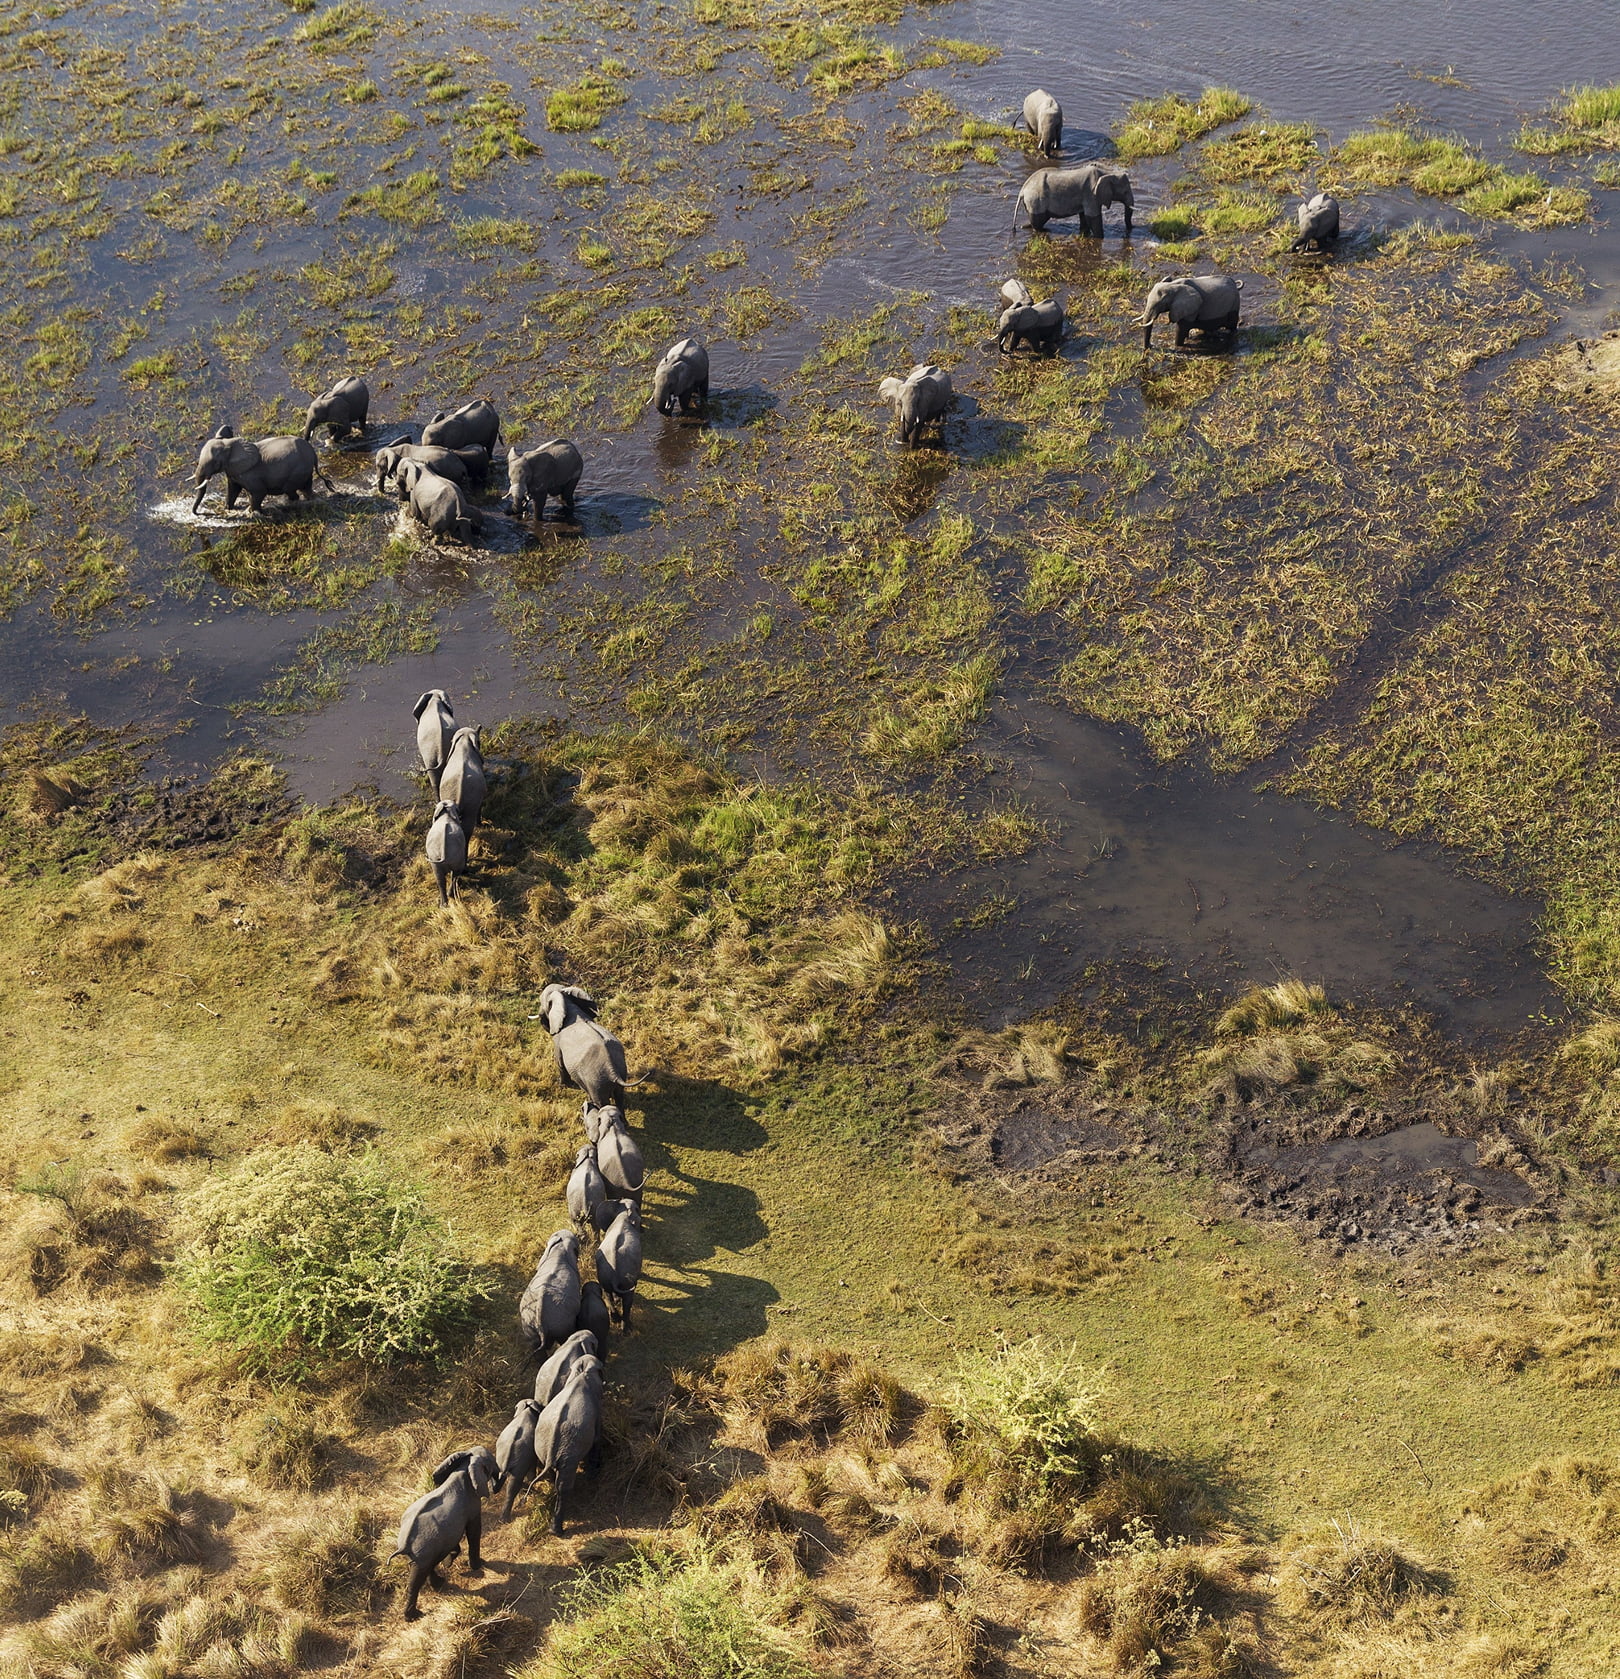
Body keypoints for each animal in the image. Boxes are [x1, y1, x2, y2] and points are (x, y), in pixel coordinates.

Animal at [191, 426, 326, 515]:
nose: (199, 513)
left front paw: (252, 513)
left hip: (298, 470)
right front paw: (227, 509)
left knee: (291, 489)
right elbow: (233, 490)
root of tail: (313, 453)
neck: (228, 443)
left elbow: (259, 492)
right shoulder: (233, 471)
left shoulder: (250, 475)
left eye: (215, 462)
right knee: (304, 488)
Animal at [390, 1446, 495, 1621]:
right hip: (424, 1549)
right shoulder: (473, 1505)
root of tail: (404, 1545)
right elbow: (474, 1531)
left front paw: (449, 1561)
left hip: (422, 1552)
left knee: (425, 1568)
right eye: (493, 1461)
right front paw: (479, 1565)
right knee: (417, 1579)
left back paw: (439, 1584)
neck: (465, 1467)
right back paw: (413, 1616)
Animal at [534, 1356, 604, 1536]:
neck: (582, 1372)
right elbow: (597, 1439)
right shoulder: (597, 1410)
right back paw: (557, 1531)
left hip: (542, 1446)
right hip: (569, 1450)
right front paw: (593, 1474)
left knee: (553, 1472)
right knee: (564, 1486)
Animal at [595, 1200, 643, 1332]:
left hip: (603, 1276)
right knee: (627, 1301)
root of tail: (615, 1277)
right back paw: (626, 1329)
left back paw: (615, 1319)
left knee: (607, 1293)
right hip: (627, 1280)